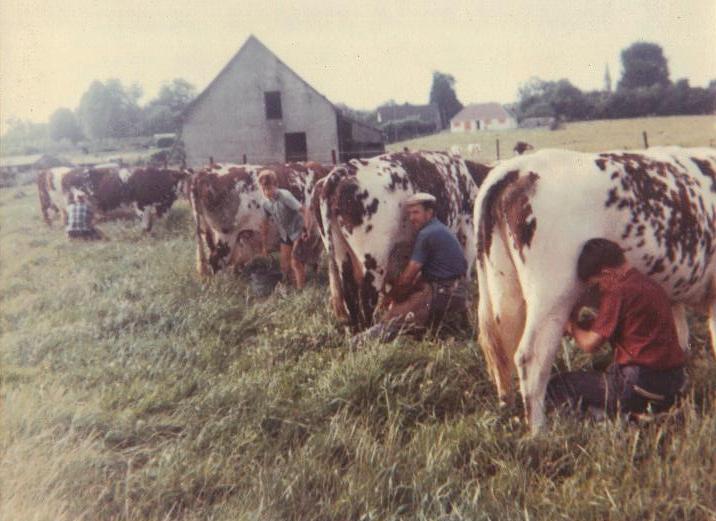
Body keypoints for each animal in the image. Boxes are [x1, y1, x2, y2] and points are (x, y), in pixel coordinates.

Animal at [318, 149, 492, 330]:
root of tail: (342, 171)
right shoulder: (468, 231)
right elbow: (465, 275)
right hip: (374, 260)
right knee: (367, 297)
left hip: (341, 255)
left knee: (350, 293)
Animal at [476, 145, 716, 430]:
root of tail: (517, 168)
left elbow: (679, 342)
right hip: (551, 296)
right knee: (530, 357)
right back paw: (539, 430)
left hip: (503, 290)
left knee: (500, 350)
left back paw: (508, 410)